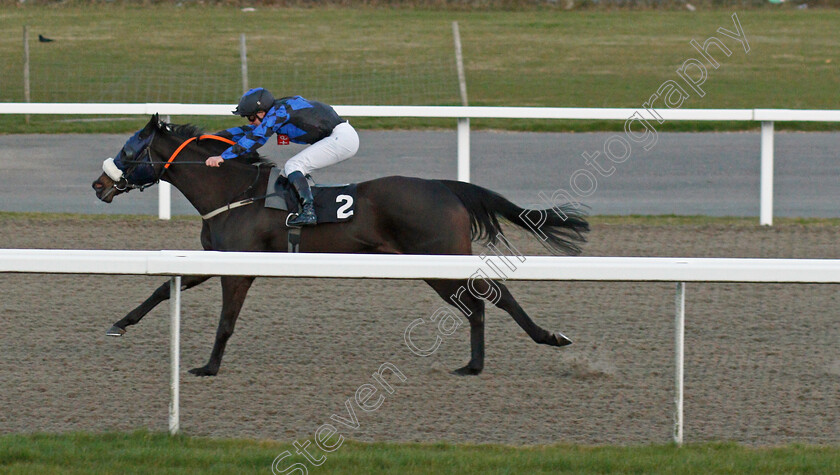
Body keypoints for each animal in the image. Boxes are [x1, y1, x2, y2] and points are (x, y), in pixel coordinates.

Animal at [92, 113, 588, 378]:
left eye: (130, 149)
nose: (99, 184)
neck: (234, 193)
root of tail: (444, 187)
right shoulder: (216, 259)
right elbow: (164, 287)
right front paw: (119, 323)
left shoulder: (240, 269)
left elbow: (225, 323)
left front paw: (209, 367)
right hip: (431, 265)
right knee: (478, 304)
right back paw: (474, 364)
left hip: (439, 255)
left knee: (493, 296)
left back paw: (547, 338)